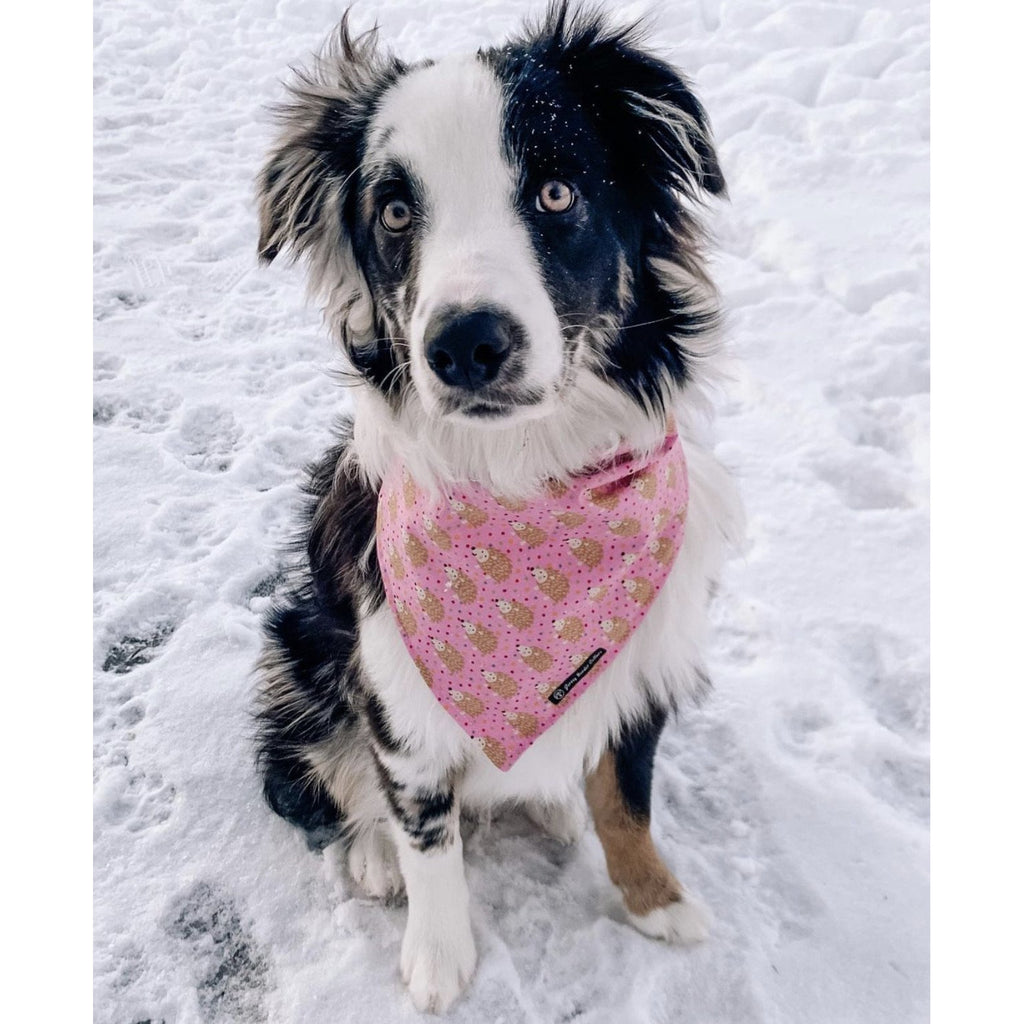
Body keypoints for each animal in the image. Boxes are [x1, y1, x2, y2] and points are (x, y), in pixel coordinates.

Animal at [251, 4, 741, 1011]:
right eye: (396, 212)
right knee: (328, 784)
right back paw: (371, 858)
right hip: (301, 651)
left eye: (556, 194)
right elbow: (426, 828)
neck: (530, 477)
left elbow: (629, 797)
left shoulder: (645, 655)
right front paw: (439, 960)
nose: (465, 344)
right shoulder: (391, 690)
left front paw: (656, 901)